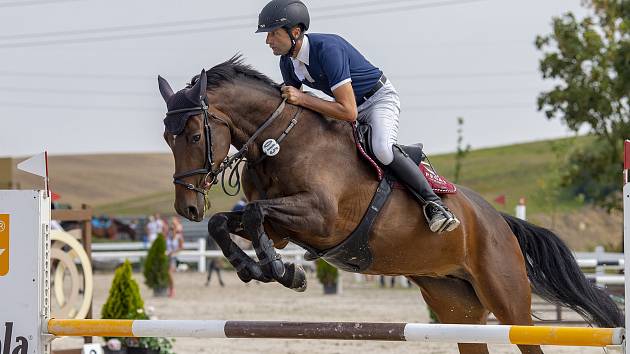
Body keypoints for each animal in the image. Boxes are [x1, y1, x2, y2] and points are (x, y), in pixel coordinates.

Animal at [157, 55, 624, 354]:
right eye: (167, 138)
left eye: (195, 135)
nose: (186, 210)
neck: (280, 139)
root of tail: (499, 222)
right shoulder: (284, 227)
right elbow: (226, 223)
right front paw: (258, 268)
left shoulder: (320, 218)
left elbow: (253, 215)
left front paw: (281, 271)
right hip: (456, 306)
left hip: (509, 302)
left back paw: (440, 215)